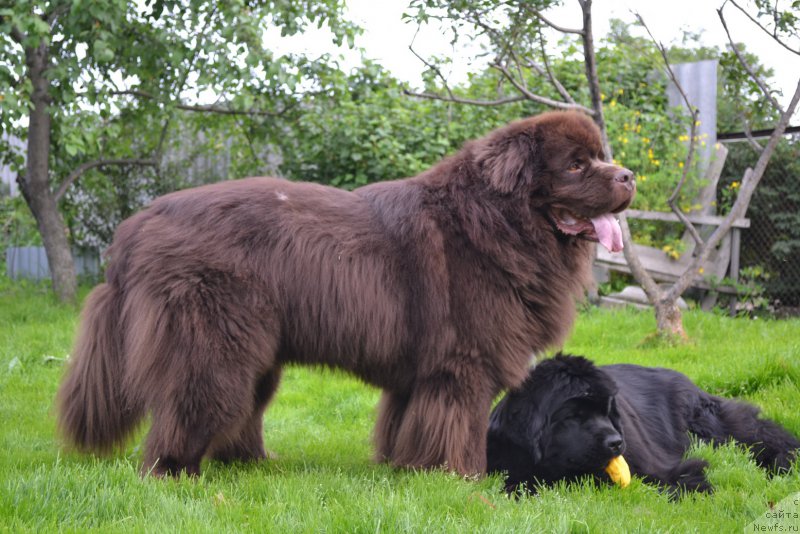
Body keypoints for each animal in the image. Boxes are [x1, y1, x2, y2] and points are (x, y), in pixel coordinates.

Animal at [56, 111, 636, 480]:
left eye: (601, 157)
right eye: (576, 165)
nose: (629, 175)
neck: (495, 223)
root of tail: (136, 227)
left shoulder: (419, 374)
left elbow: (405, 424)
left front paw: (404, 468)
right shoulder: (461, 366)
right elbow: (461, 427)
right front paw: (465, 479)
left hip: (256, 352)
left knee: (244, 409)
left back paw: (252, 464)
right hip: (211, 345)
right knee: (188, 408)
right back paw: (175, 474)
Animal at [488, 354, 800, 496]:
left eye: (607, 412)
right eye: (573, 416)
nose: (616, 442)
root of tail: (690, 383)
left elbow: (674, 478)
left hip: (712, 427)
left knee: (758, 434)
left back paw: (783, 460)